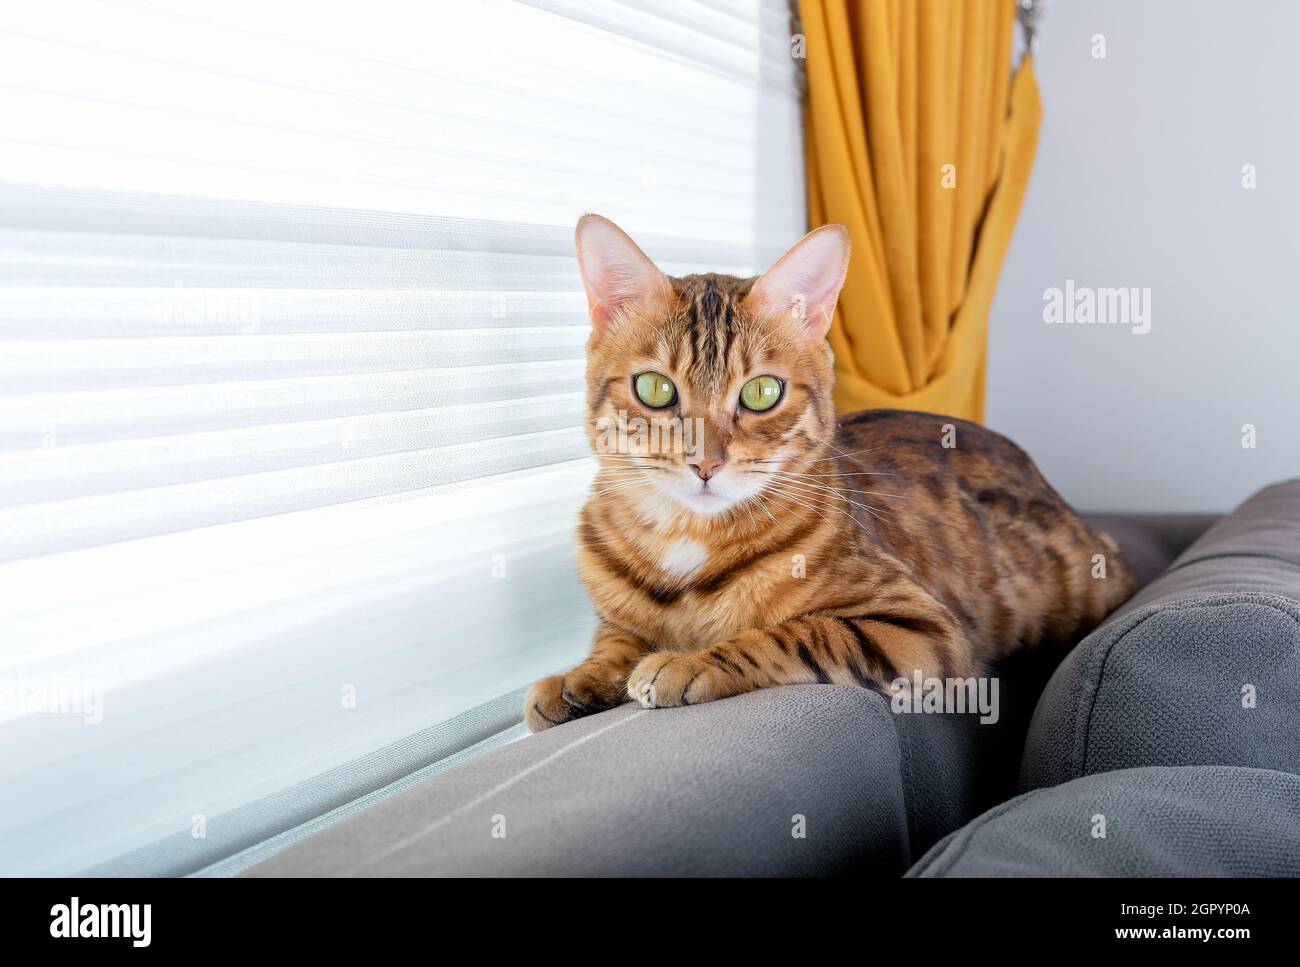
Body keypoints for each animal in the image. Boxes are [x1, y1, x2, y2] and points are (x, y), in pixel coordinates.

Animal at [522, 215, 1133, 733]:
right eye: (654, 388)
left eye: (762, 393)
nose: (705, 463)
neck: (686, 545)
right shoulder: (617, 619)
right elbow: (614, 642)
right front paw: (577, 677)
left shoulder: (920, 629)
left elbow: (796, 632)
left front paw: (689, 661)